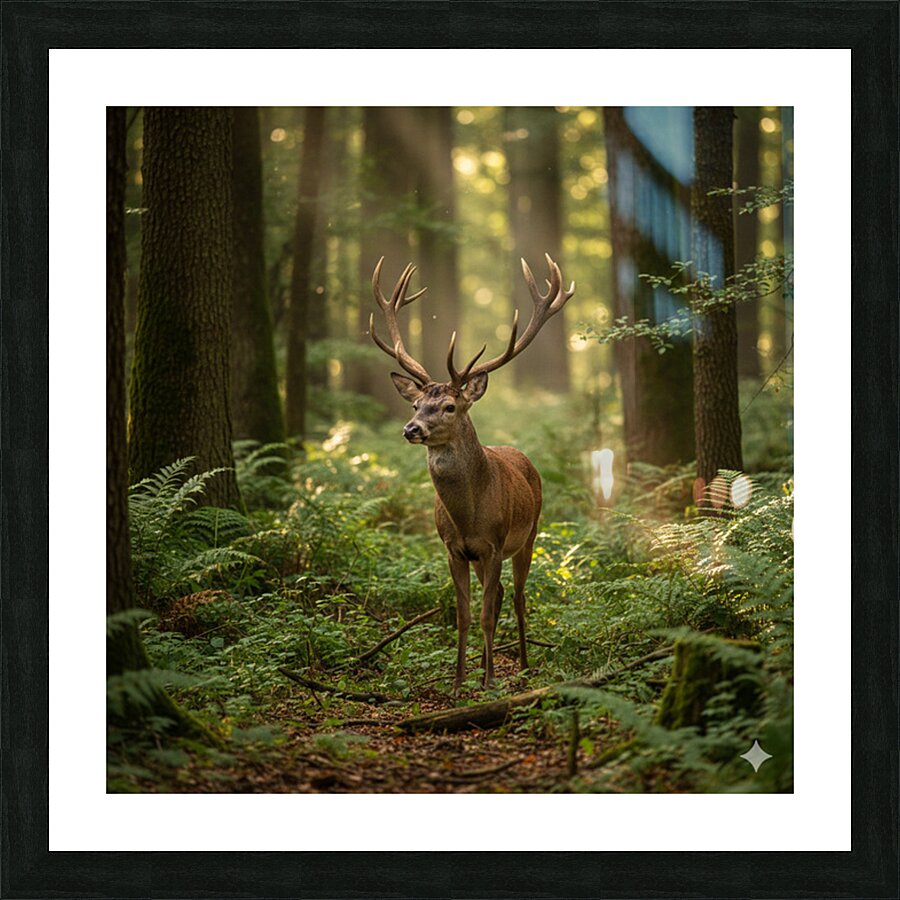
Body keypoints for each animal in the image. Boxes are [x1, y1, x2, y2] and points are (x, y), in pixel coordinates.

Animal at [369, 254, 575, 691]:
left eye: (449, 406)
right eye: (416, 406)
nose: (411, 429)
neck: (469, 515)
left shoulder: (494, 544)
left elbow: (484, 613)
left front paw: (488, 680)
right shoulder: (454, 548)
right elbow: (464, 615)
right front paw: (460, 679)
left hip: (529, 534)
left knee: (516, 598)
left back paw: (524, 664)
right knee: (497, 596)